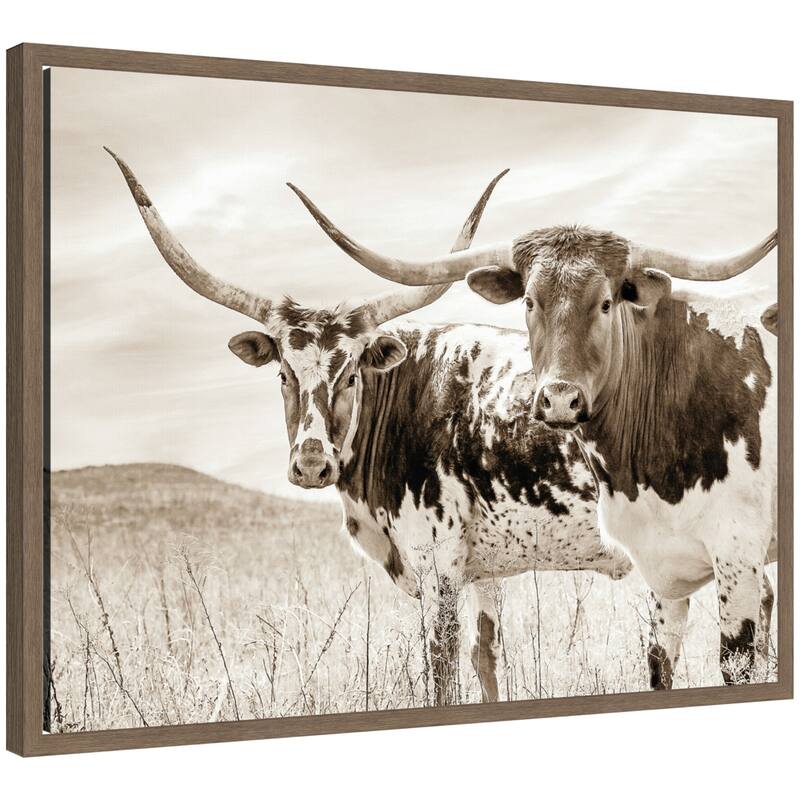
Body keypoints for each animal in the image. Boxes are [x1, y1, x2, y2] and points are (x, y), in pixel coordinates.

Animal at [107, 149, 632, 705]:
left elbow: (443, 672)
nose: (311, 464)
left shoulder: (438, 566)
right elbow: (487, 660)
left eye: (352, 374)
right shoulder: (484, 571)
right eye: (283, 374)